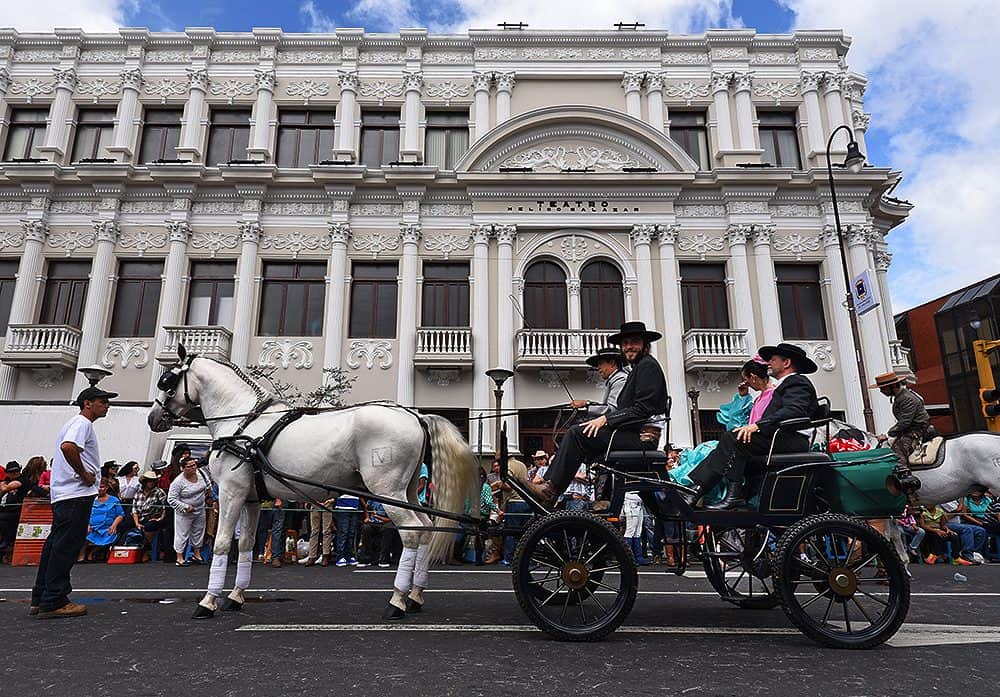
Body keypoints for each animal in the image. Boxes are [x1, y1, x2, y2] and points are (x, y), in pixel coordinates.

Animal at [145, 346, 480, 620]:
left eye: (167, 381)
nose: (152, 418)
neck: (242, 424)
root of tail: (415, 415)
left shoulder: (230, 492)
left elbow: (224, 543)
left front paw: (208, 601)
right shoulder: (251, 498)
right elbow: (246, 544)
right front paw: (236, 596)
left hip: (386, 490)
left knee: (411, 533)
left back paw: (397, 600)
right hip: (406, 489)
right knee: (425, 528)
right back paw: (415, 595)